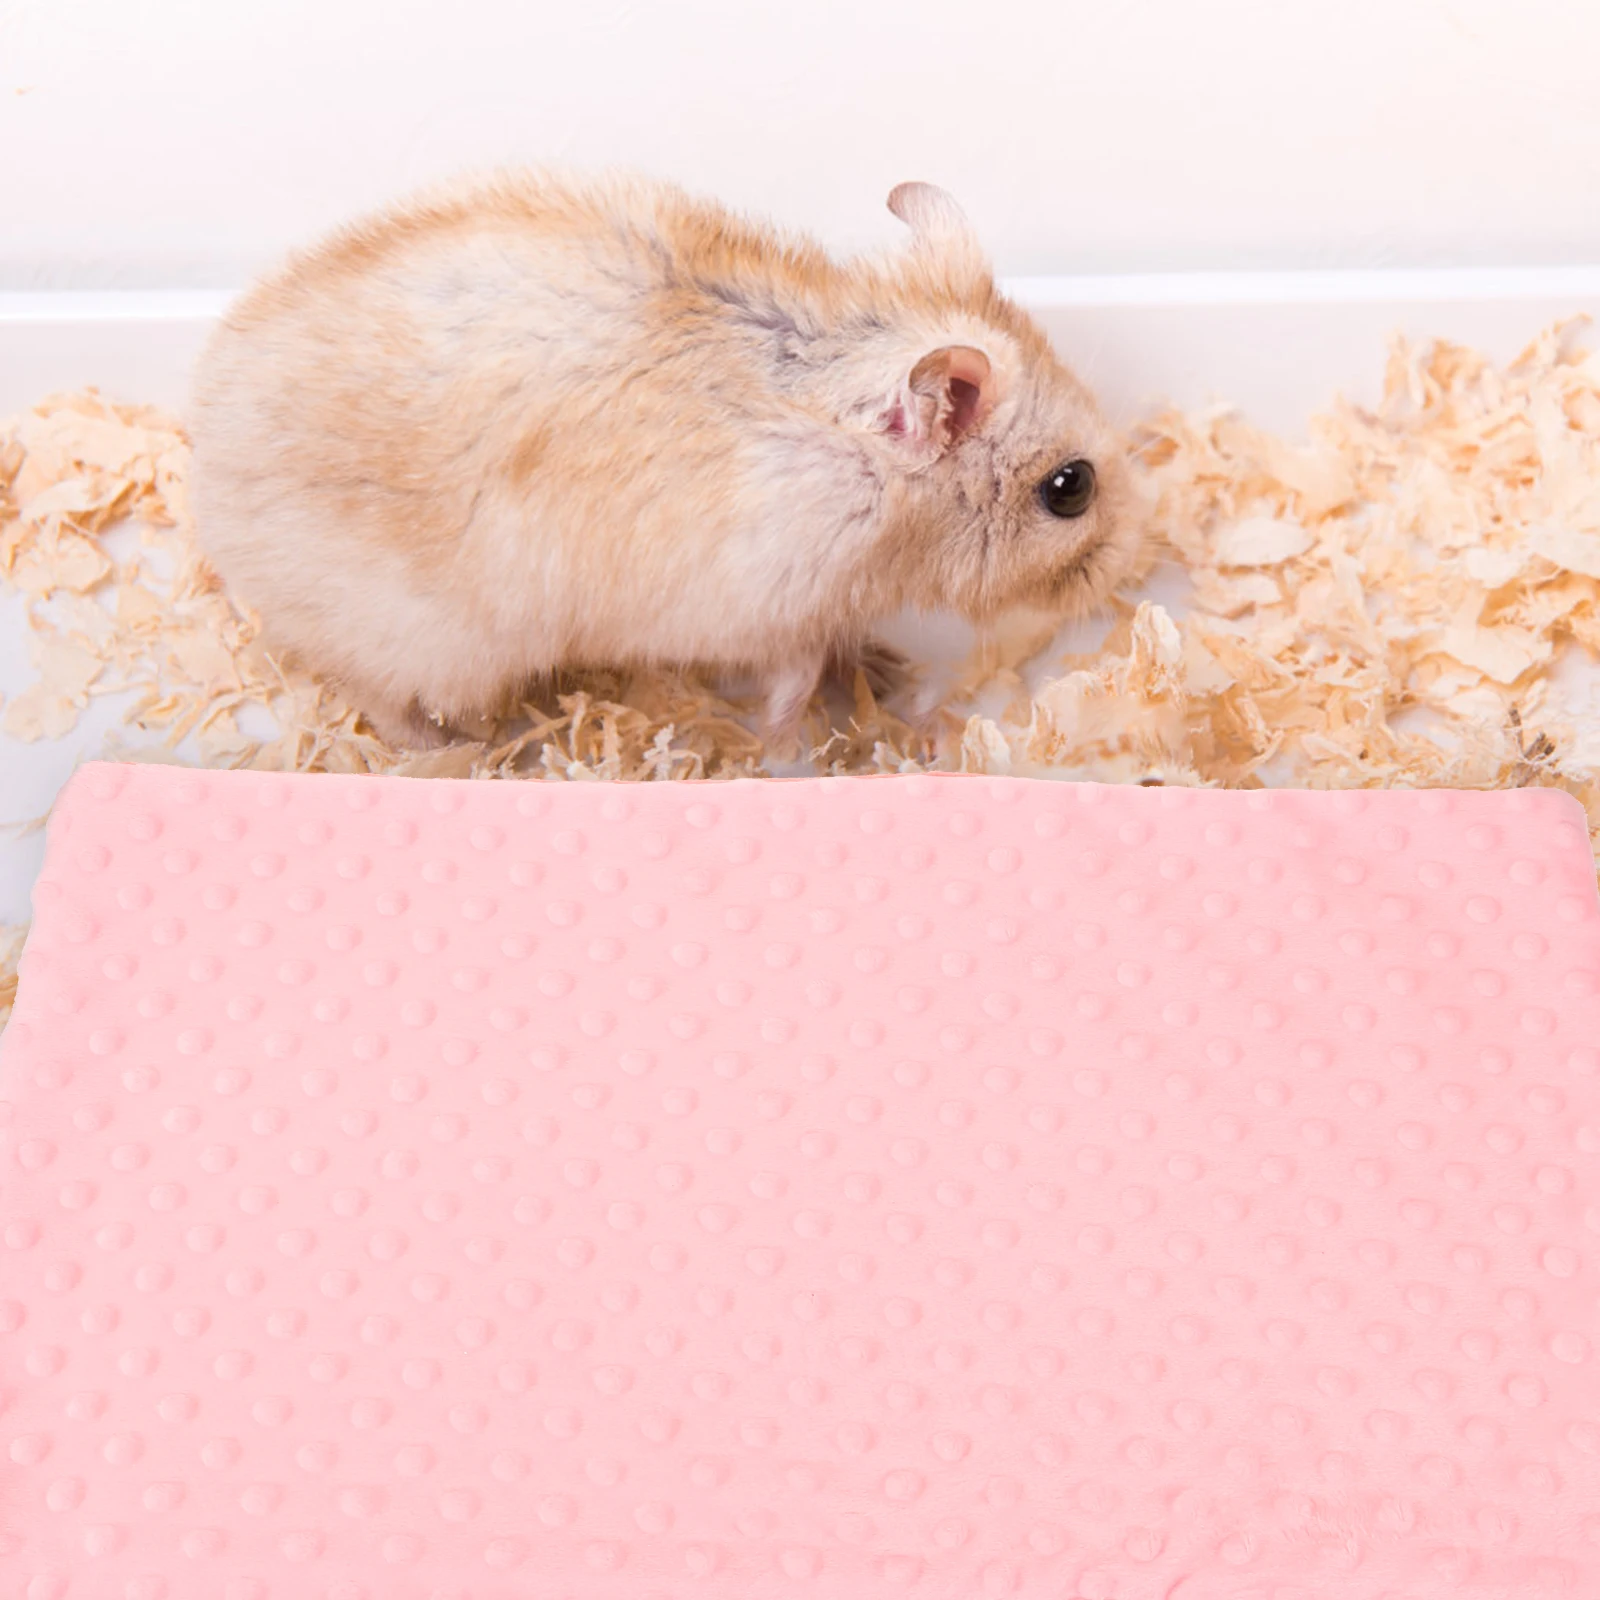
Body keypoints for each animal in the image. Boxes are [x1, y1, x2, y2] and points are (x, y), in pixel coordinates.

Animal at [188, 169, 1140, 749]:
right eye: (1070, 488)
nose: (1136, 556)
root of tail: (204, 454)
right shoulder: (764, 611)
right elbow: (796, 671)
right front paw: (776, 739)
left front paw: (884, 675)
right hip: (419, 644)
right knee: (379, 701)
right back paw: (463, 747)